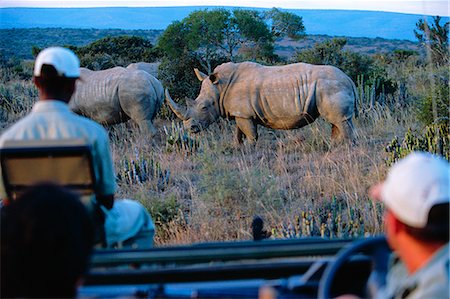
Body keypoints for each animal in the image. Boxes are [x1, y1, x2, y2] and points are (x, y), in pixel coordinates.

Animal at [164, 61, 356, 144]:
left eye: (204, 107)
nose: (190, 129)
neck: (219, 88)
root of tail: (349, 79)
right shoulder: (240, 113)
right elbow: (238, 133)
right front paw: (238, 147)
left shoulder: (245, 114)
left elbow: (251, 134)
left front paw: (250, 149)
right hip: (330, 87)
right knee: (338, 121)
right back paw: (335, 146)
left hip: (331, 87)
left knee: (339, 121)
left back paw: (344, 148)